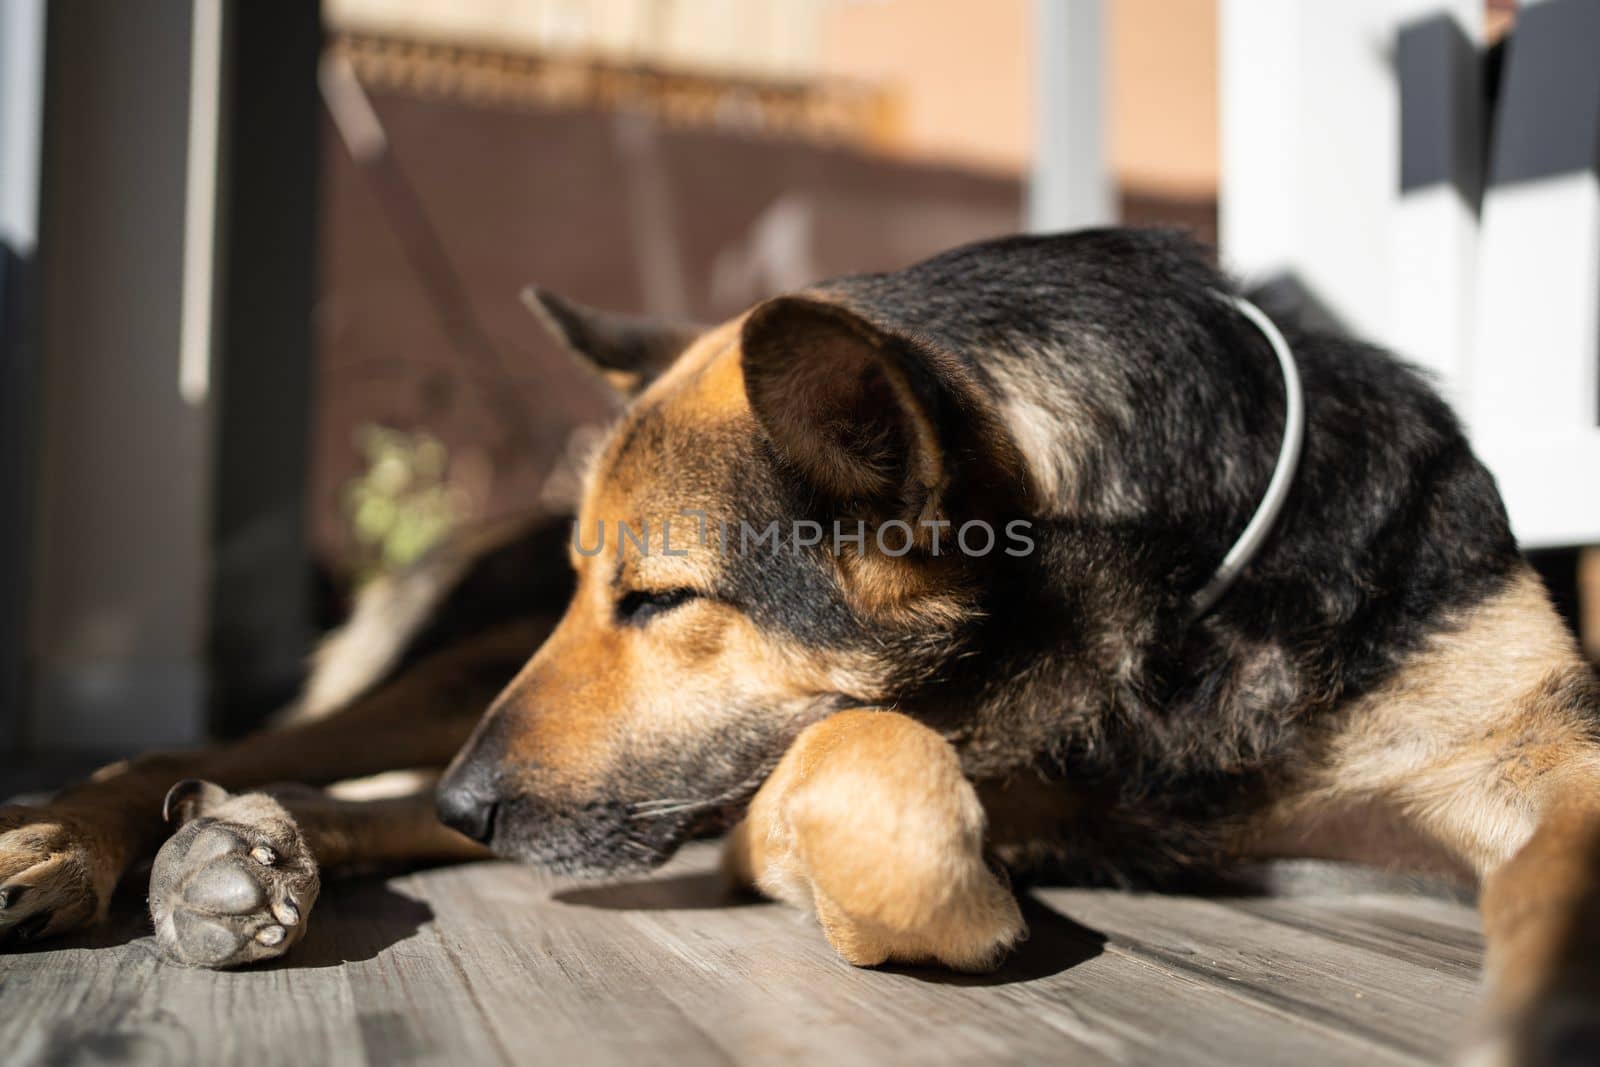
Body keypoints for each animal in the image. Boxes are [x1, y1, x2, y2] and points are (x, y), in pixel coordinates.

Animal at [3, 230, 1600, 1062]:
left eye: (658, 598)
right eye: (594, 585)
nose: (471, 795)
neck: (1175, 613)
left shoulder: (1537, 754)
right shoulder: (768, 792)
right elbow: (868, 765)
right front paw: (960, 899)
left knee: (356, 801)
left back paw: (250, 843)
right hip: (455, 689)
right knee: (227, 748)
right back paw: (91, 841)